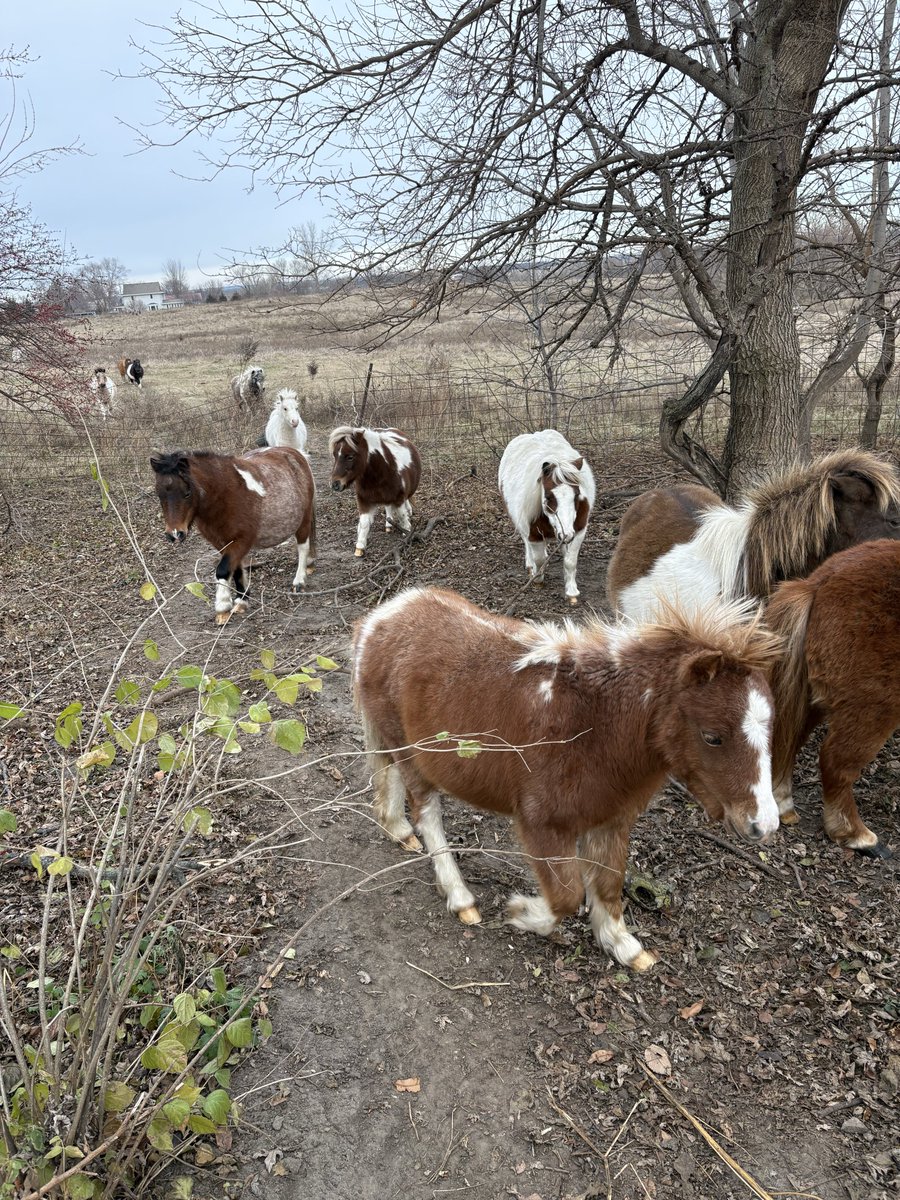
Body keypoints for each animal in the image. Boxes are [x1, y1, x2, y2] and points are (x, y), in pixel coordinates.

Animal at [150, 447, 316, 624]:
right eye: (159, 494)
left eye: (187, 493)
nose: (175, 534)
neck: (225, 496)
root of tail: (295, 453)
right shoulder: (221, 543)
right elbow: (234, 568)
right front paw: (242, 600)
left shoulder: (242, 541)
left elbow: (223, 569)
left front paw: (223, 605)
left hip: (304, 520)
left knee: (303, 547)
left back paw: (299, 580)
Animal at [329, 426, 422, 556]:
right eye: (334, 455)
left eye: (350, 456)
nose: (335, 484)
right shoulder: (364, 501)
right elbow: (364, 523)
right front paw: (360, 547)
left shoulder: (399, 499)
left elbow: (402, 515)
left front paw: (407, 531)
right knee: (388, 507)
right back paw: (389, 525)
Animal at [352, 586, 781, 971]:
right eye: (713, 736)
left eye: (771, 730)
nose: (764, 824)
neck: (594, 724)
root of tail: (380, 619)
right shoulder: (541, 824)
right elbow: (566, 896)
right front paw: (520, 913)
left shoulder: (612, 819)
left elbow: (608, 884)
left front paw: (623, 946)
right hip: (411, 754)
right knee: (427, 814)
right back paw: (461, 898)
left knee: (386, 772)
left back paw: (396, 829)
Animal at [498, 429, 596, 606]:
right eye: (549, 496)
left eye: (576, 494)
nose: (566, 534)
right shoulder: (533, 534)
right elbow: (539, 558)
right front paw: (538, 579)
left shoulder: (578, 532)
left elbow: (570, 561)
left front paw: (572, 592)